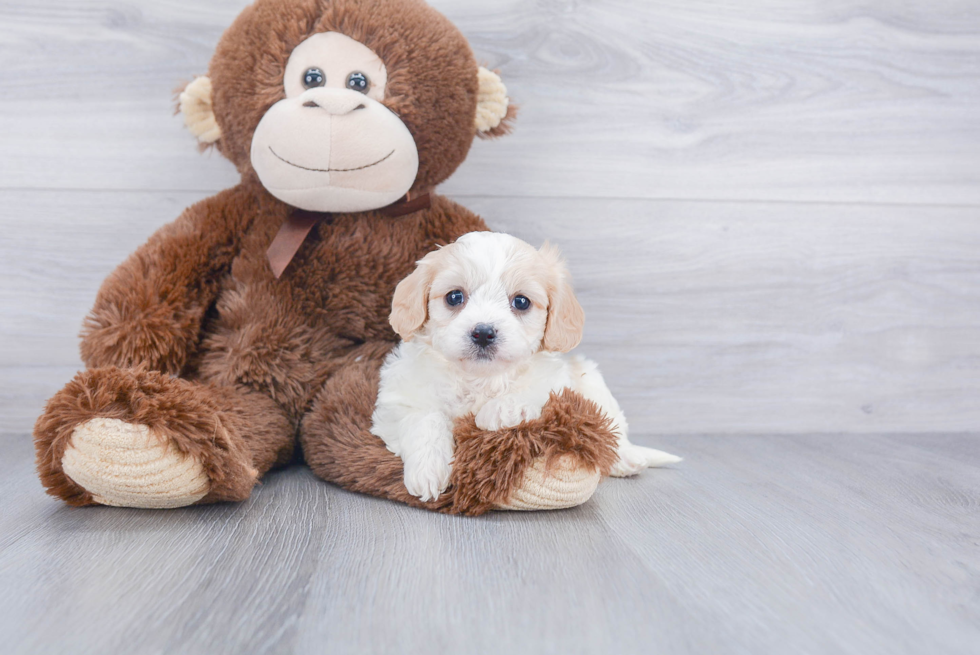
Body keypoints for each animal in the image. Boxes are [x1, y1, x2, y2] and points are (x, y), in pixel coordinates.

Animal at [370, 232, 680, 502]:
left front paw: (500, 410)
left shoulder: (558, 381)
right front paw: (428, 470)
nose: (483, 332)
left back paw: (627, 457)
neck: (478, 378)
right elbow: (425, 418)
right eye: (454, 297)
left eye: (521, 302)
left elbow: (538, 390)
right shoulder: (397, 401)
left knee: (613, 426)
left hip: (593, 380)